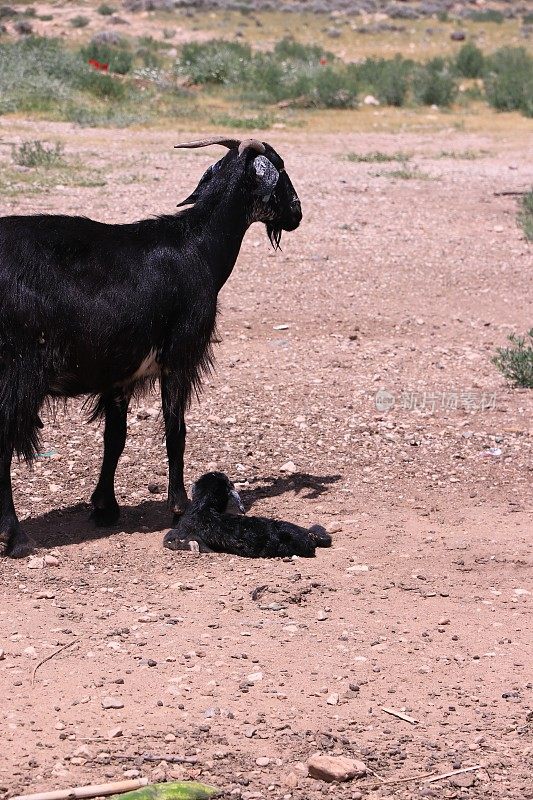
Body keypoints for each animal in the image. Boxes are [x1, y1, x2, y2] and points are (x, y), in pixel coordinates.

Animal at [0, 136, 300, 556]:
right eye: (281, 167)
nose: (297, 212)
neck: (198, 248)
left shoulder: (119, 372)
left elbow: (115, 438)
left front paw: (105, 507)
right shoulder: (179, 355)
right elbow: (176, 429)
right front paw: (178, 504)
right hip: (18, 369)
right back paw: (16, 537)